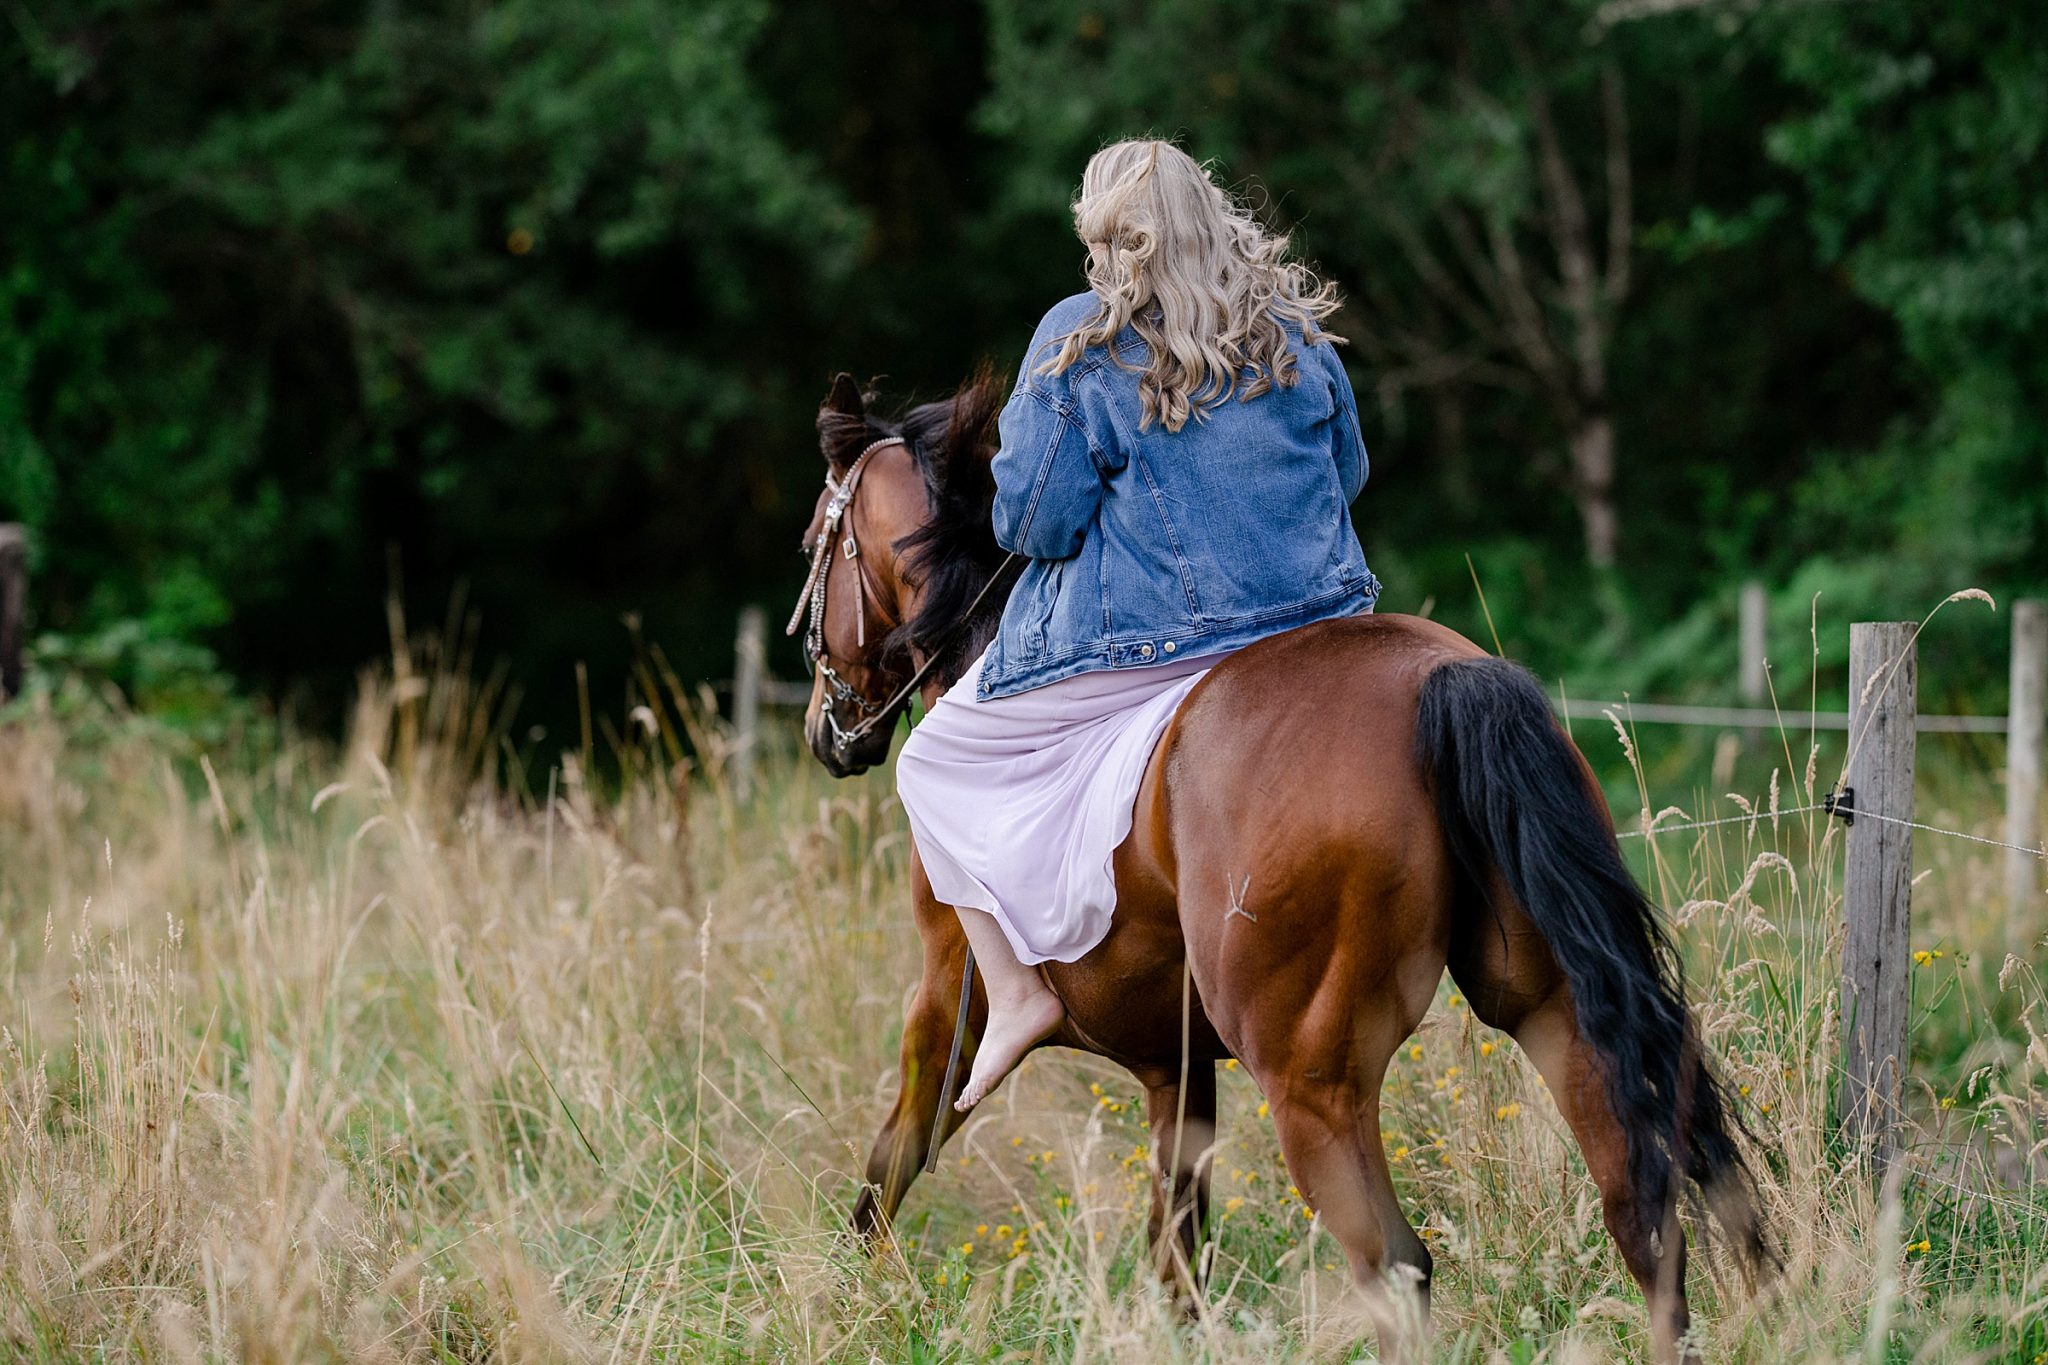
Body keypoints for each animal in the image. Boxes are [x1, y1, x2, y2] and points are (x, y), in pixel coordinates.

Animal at [790, 368, 1769, 1358]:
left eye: (812, 544)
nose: (827, 734)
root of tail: (1435, 678)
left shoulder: (945, 997)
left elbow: (892, 1161)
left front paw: (845, 1303)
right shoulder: (1175, 1064)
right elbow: (1177, 1248)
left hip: (1311, 1080)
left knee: (1397, 1262)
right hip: (1548, 1006)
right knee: (1639, 1212)